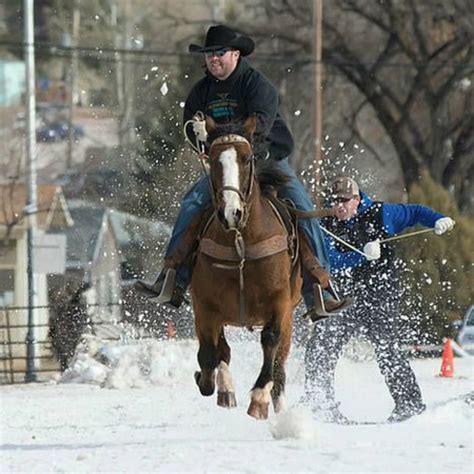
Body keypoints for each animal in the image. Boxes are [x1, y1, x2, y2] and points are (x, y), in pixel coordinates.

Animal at [191, 115, 302, 418]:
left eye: (247, 158)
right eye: (213, 158)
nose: (232, 213)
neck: (242, 242)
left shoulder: (280, 302)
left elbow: (270, 340)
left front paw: (259, 398)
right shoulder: (204, 305)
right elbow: (210, 353)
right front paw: (209, 382)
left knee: (280, 366)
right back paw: (225, 389)